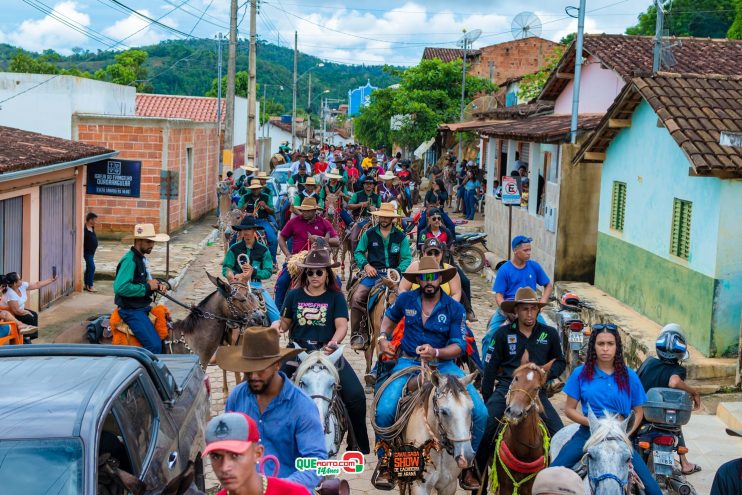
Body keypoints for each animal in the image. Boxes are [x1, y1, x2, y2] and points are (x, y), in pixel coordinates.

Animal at [486, 354, 556, 495]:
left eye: (537, 388)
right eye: (516, 378)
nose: (514, 412)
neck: (524, 451)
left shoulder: (530, 487)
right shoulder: (505, 486)